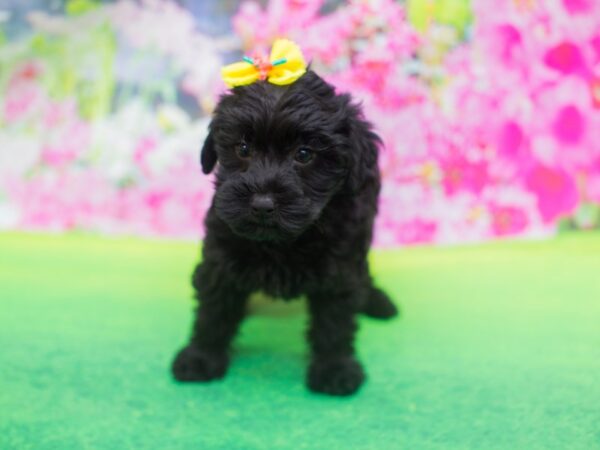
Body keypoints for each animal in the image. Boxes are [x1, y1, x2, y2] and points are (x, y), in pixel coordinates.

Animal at [172, 68, 398, 396]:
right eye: (243, 148)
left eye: (304, 154)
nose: (262, 204)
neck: (282, 241)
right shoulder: (220, 254)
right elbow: (213, 310)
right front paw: (200, 357)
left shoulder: (341, 265)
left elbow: (335, 321)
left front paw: (335, 369)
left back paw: (377, 301)